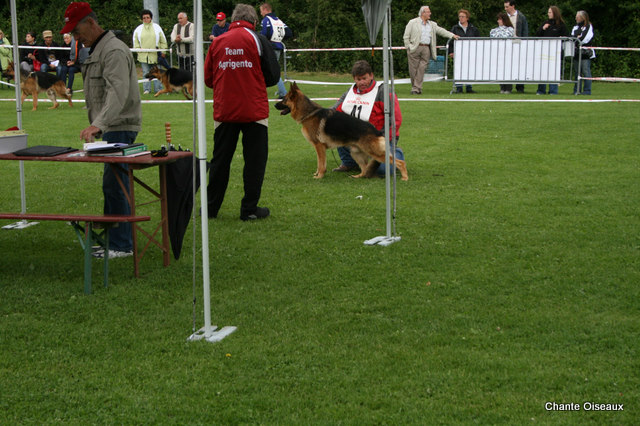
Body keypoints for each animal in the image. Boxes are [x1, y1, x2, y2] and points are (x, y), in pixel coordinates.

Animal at [272, 82, 408, 181]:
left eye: (284, 99)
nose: (274, 105)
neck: (309, 113)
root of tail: (376, 131)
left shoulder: (319, 147)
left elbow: (321, 164)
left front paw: (319, 176)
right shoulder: (319, 148)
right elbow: (319, 163)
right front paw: (317, 174)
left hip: (375, 153)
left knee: (400, 162)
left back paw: (405, 178)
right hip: (356, 153)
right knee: (364, 169)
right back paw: (357, 176)